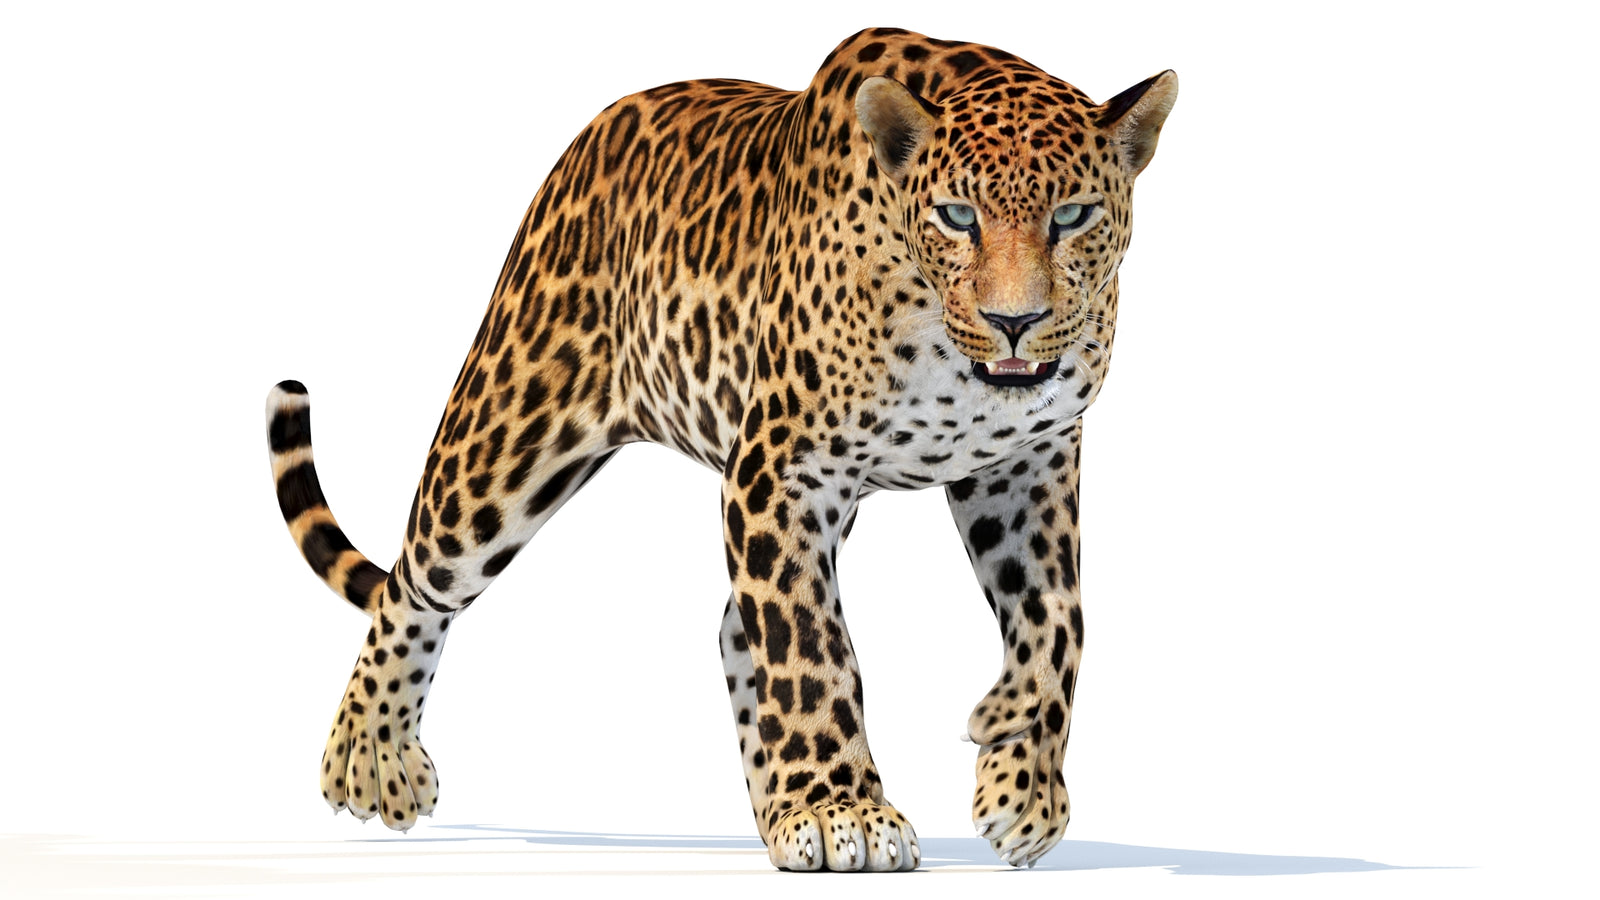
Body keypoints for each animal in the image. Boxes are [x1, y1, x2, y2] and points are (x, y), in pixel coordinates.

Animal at [265, 27, 1176, 871]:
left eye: (1072, 217)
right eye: (958, 216)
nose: (1014, 322)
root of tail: (587, 140)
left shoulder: (1025, 462)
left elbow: (1059, 619)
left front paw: (1019, 774)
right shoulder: (785, 468)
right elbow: (809, 644)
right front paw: (840, 810)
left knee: (739, 628)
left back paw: (777, 809)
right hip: (507, 431)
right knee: (415, 581)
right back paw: (369, 758)